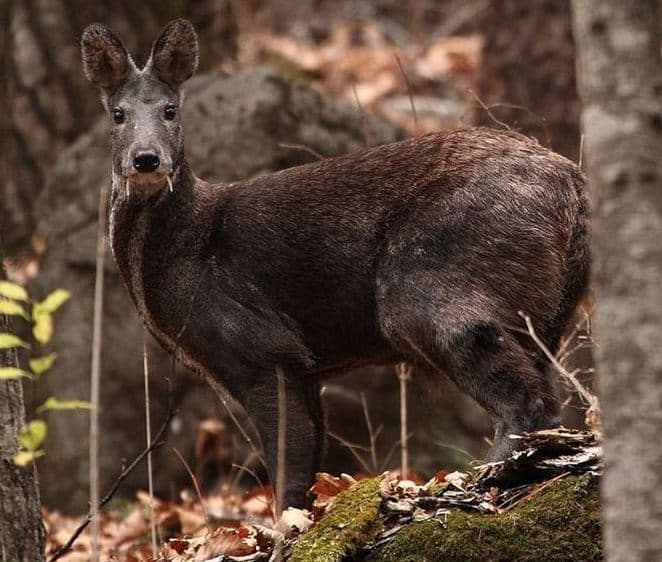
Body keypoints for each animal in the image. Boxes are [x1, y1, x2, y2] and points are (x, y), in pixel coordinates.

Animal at [81, 19, 592, 508]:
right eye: (117, 114)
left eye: (170, 110)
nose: (146, 159)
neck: (190, 249)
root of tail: (574, 185)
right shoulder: (304, 369)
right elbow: (308, 462)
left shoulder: (263, 348)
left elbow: (287, 470)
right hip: (548, 310)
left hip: (429, 283)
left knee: (527, 399)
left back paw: (479, 478)